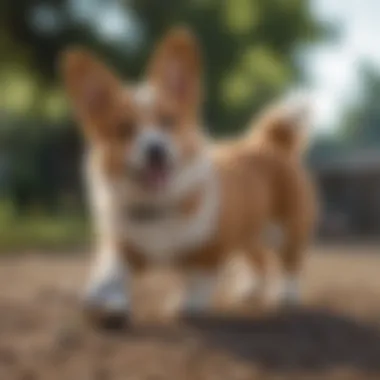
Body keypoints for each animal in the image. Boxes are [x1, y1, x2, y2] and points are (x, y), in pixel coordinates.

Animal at [62, 27, 316, 324]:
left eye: (168, 122)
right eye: (124, 129)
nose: (155, 150)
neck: (159, 205)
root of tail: (269, 141)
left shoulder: (209, 248)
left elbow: (198, 279)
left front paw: (186, 304)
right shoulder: (126, 246)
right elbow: (111, 270)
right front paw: (99, 294)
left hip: (285, 229)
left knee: (290, 261)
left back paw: (286, 294)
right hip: (248, 232)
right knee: (257, 260)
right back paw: (249, 290)